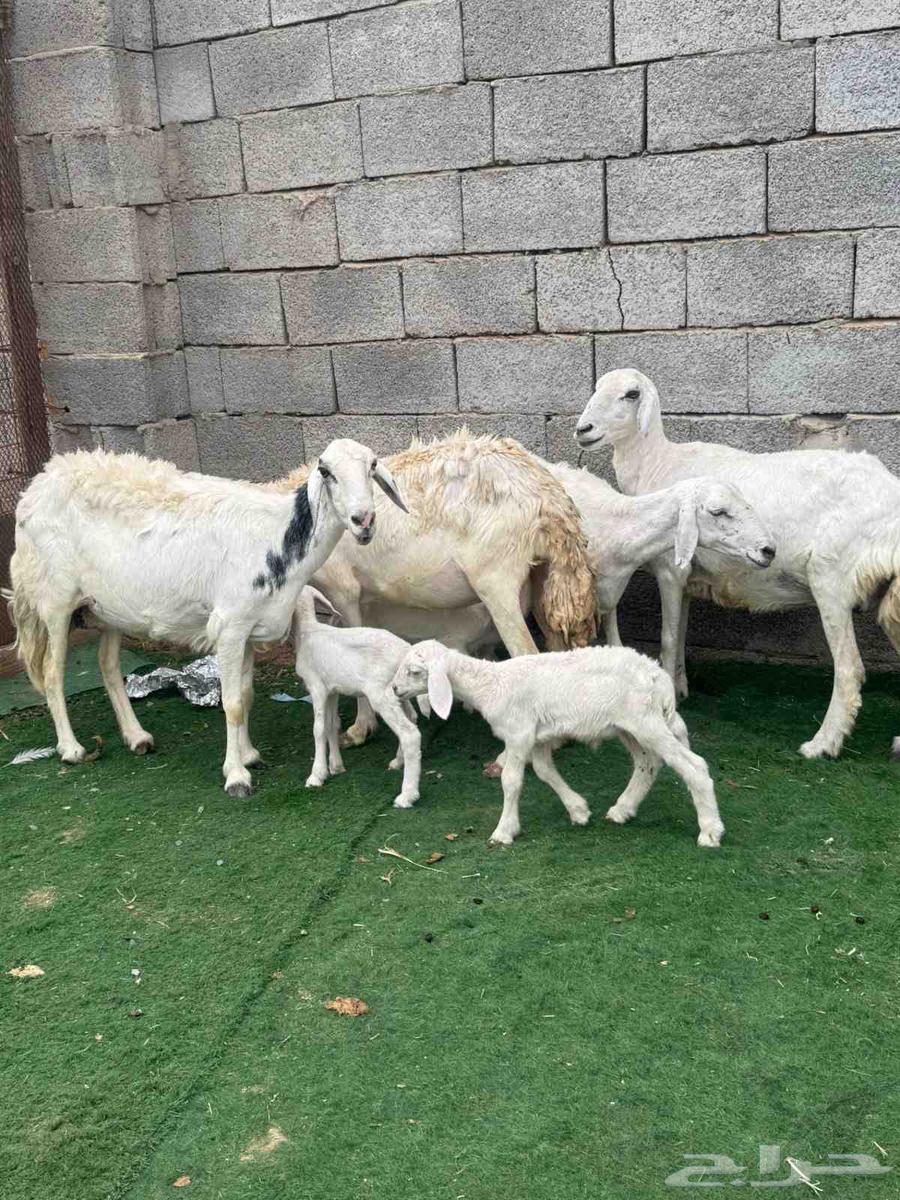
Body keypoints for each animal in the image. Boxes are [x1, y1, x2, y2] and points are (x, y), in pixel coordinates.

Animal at [6, 440, 407, 795]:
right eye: (326, 472)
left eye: (372, 466)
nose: (363, 520)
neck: (278, 539)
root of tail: (39, 483)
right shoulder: (229, 626)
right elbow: (231, 704)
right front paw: (236, 776)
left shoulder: (248, 629)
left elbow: (244, 695)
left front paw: (249, 755)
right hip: (55, 600)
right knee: (52, 673)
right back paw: (71, 749)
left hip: (105, 607)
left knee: (107, 666)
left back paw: (137, 737)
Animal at [269, 429, 597, 747]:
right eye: (325, 471)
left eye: (372, 466)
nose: (363, 522)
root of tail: (547, 495)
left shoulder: (344, 590)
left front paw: (361, 728)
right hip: (544, 575)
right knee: (555, 647)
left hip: (496, 579)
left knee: (526, 652)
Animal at [293, 587, 424, 808]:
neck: (307, 630)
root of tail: (405, 651)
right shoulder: (332, 690)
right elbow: (332, 724)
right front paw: (336, 766)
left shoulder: (317, 687)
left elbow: (318, 729)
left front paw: (317, 775)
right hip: (400, 691)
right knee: (412, 717)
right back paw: (398, 761)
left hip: (380, 692)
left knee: (410, 734)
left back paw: (407, 795)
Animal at [391, 640, 724, 848]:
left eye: (414, 672)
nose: (393, 689)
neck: (490, 685)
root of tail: (659, 677)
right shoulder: (537, 737)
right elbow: (544, 772)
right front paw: (578, 810)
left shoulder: (518, 732)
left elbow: (512, 781)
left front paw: (504, 830)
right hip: (630, 726)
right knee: (648, 763)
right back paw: (623, 809)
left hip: (645, 720)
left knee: (694, 766)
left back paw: (710, 831)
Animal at [575, 367, 900, 760]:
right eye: (596, 387)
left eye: (631, 394)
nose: (583, 429)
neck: (658, 464)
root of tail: (890, 493)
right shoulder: (687, 578)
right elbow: (680, 634)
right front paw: (680, 687)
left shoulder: (670, 570)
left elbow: (667, 638)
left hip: (831, 578)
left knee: (849, 669)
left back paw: (821, 744)